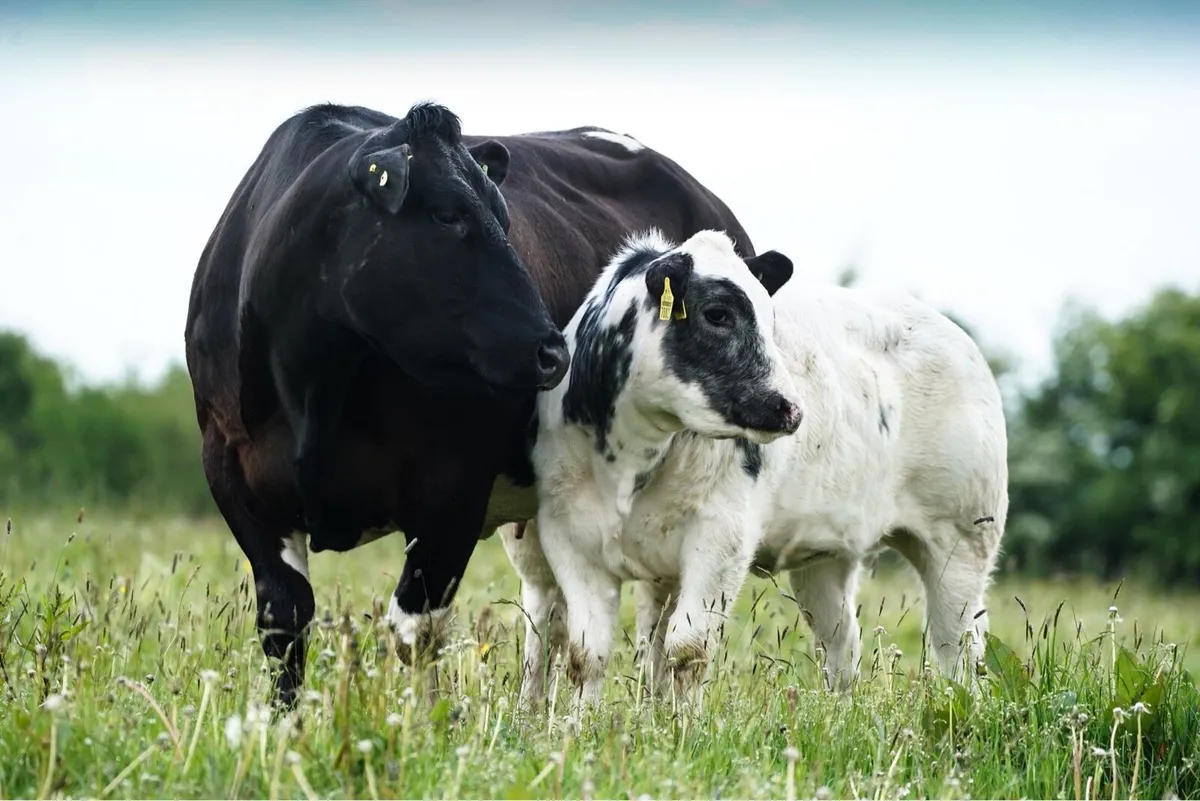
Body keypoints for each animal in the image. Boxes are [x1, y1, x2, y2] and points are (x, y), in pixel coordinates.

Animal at [183, 100, 757, 706]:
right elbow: (285, 623)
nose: (554, 351)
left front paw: (417, 719)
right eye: (445, 215)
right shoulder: (233, 479)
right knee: (554, 608)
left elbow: (415, 631)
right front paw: (282, 722)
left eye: (505, 220)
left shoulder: (453, 492)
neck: (313, 385)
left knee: (660, 616)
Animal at [499, 227, 1009, 712]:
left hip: (961, 543)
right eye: (718, 314)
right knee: (842, 648)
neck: (628, 461)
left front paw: (679, 729)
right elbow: (587, 655)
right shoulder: (570, 538)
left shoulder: (721, 537)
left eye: (769, 319)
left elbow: (688, 650)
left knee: (959, 650)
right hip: (826, 560)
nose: (790, 409)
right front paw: (578, 728)